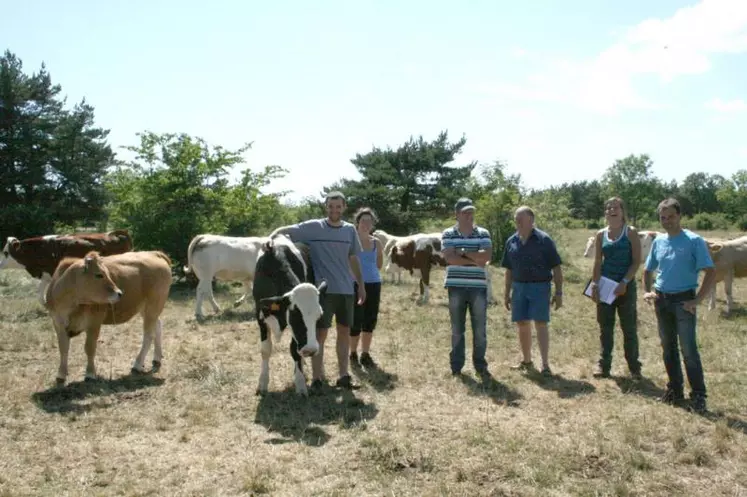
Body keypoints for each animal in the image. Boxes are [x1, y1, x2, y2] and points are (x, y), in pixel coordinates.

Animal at [43, 250, 172, 386]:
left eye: (107, 273)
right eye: (99, 275)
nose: (119, 293)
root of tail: (154, 253)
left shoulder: (94, 323)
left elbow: (89, 348)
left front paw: (90, 374)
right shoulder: (58, 324)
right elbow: (63, 348)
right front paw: (61, 375)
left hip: (153, 307)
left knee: (149, 335)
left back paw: (137, 364)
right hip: (146, 309)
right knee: (157, 326)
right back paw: (156, 359)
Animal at [254, 233, 328, 396]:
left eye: (319, 316)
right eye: (294, 315)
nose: (310, 350)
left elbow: (294, 350)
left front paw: (300, 384)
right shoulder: (260, 316)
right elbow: (265, 350)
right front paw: (262, 383)